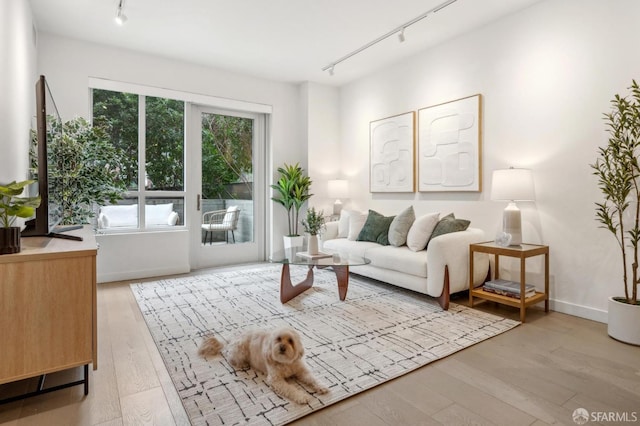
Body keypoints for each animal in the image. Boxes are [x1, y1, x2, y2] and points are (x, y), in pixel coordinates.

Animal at [199, 328, 330, 404]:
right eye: (278, 339)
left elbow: (311, 378)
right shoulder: (276, 380)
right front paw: (302, 396)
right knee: (229, 357)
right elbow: (290, 389)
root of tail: (233, 338)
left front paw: (321, 386)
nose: (282, 347)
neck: (285, 362)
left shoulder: (302, 371)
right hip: (240, 351)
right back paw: (242, 364)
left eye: (290, 341)